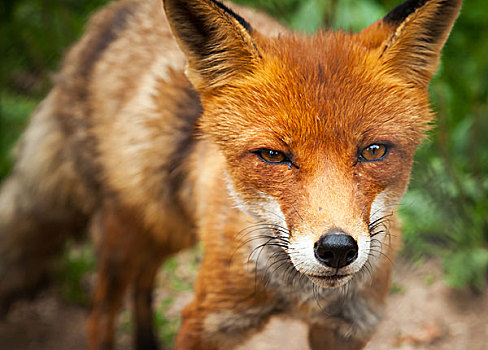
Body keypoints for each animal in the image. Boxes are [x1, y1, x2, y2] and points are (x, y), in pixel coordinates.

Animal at [0, 0, 462, 348]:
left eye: (373, 151)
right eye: (273, 155)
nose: (335, 249)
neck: (298, 296)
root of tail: (113, 12)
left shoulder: (345, 329)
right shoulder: (208, 322)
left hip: (171, 225)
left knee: (144, 282)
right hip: (123, 231)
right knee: (101, 316)